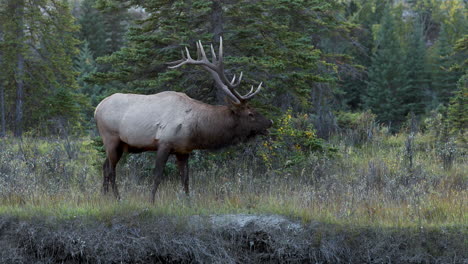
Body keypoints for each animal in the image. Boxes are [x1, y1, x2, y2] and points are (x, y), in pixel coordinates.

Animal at [94, 37, 270, 202]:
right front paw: (151, 201)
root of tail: (97, 109)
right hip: (111, 138)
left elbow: (185, 179)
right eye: (250, 114)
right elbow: (157, 176)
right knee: (111, 170)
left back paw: (104, 196)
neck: (195, 129)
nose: (270, 122)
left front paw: (188, 201)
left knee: (104, 166)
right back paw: (118, 198)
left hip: (119, 145)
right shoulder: (164, 143)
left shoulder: (184, 150)